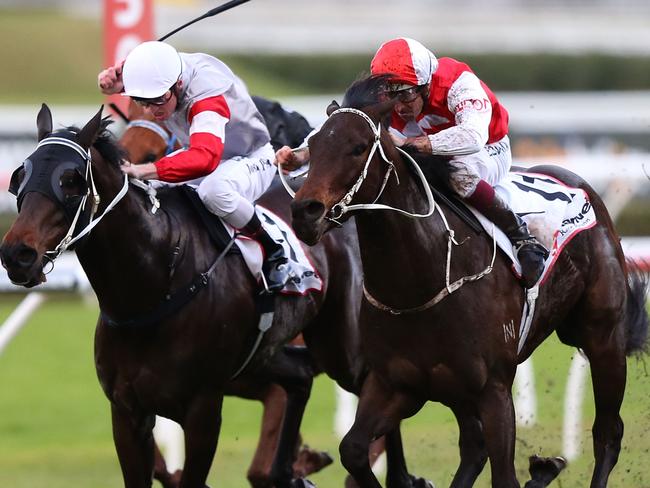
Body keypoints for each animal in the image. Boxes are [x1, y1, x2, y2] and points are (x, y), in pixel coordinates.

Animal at [290, 75, 648, 488]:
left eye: (357, 147)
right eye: (313, 145)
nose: (305, 212)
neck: (421, 281)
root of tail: (584, 189)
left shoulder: (493, 389)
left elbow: (504, 475)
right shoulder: (394, 384)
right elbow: (352, 450)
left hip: (603, 337)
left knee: (608, 433)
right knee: (473, 447)